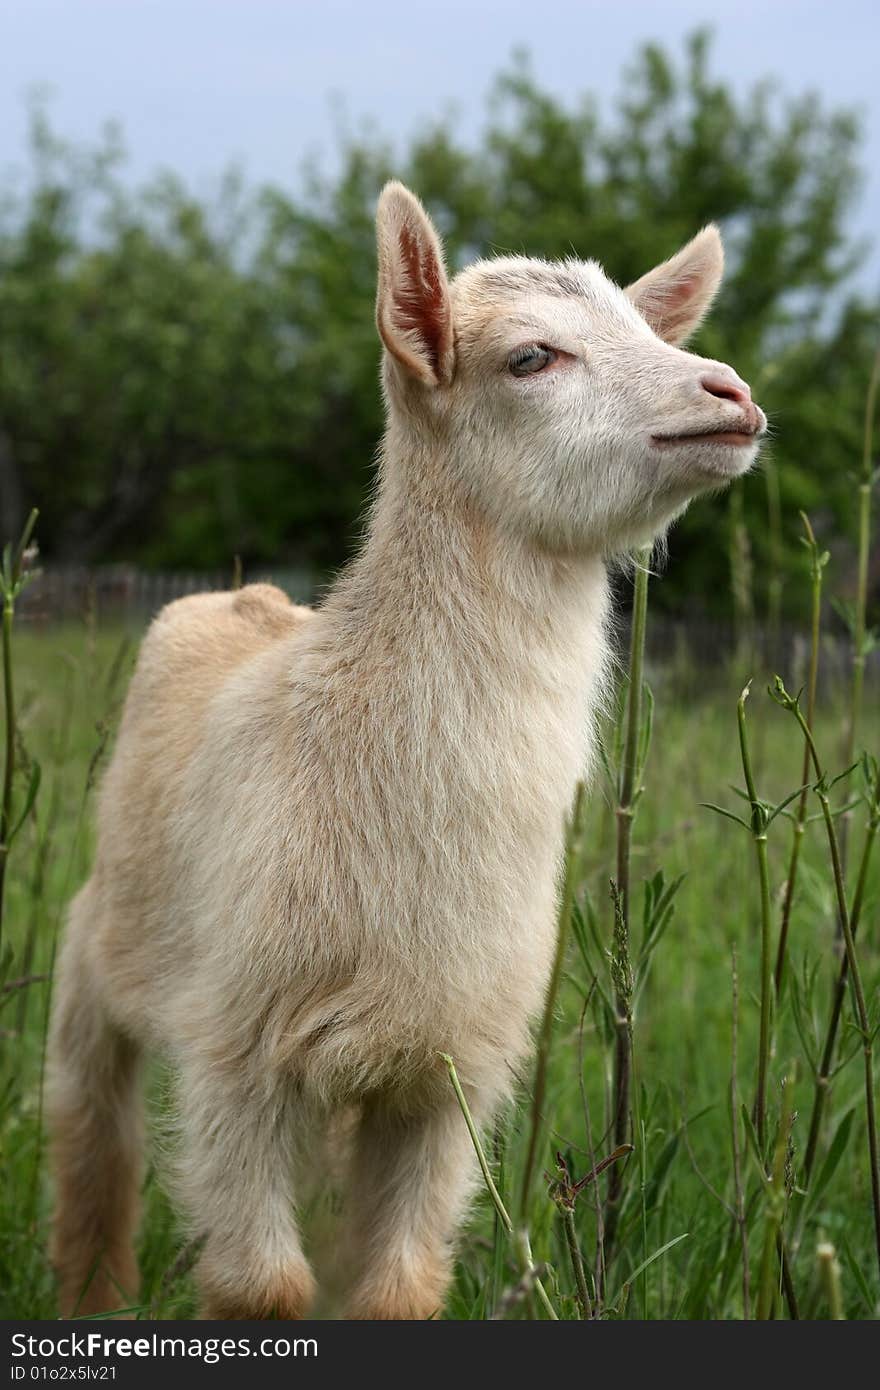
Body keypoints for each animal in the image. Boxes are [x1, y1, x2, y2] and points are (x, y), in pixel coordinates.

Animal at [46, 179, 761, 1317]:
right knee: (89, 1126)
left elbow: (396, 1289)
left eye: (652, 327)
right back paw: (93, 1291)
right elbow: (263, 1288)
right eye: (530, 357)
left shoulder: (449, 1069)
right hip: (102, 942)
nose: (728, 393)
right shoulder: (234, 1047)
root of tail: (247, 599)